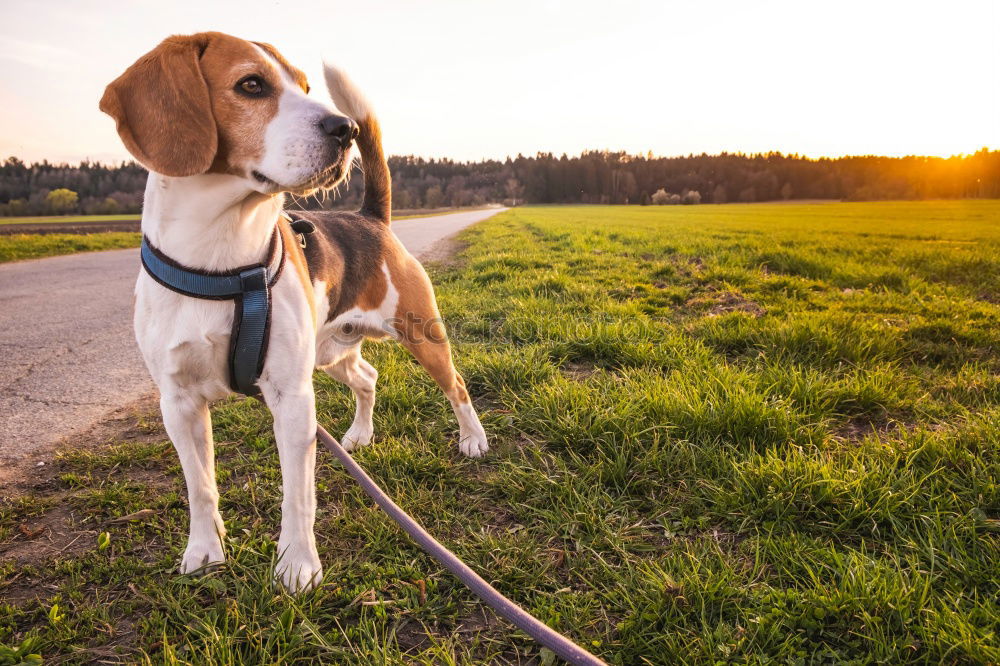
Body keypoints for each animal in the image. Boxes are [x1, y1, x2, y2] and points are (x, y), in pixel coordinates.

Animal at [100, 32, 488, 592]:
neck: (221, 257)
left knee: (456, 386)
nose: (345, 129)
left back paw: (473, 439)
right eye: (251, 85)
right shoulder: (177, 402)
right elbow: (200, 487)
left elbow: (297, 495)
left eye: (305, 87)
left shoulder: (292, 397)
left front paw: (298, 567)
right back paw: (359, 435)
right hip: (330, 352)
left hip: (422, 335)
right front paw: (204, 551)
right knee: (368, 377)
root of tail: (370, 217)